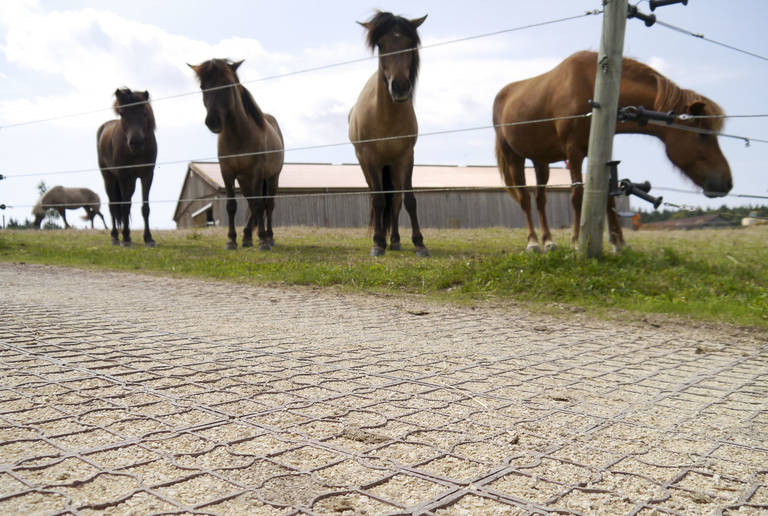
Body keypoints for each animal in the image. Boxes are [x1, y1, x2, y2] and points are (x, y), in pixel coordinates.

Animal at [97, 87, 158, 247]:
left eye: (144, 112)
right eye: (122, 113)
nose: (136, 142)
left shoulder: (147, 175)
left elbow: (145, 208)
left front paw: (148, 238)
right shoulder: (124, 176)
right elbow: (124, 206)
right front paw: (125, 237)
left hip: (131, 182)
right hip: (109, 178)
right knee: (113, 205)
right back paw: (115, 236)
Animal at [189, 59, 284, 251]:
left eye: (227, 84)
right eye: (203, 87)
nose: (213, 121)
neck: (238, 135)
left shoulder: (256, 172)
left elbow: (259, 204)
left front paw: (263, 241)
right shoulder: (227, 172)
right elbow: (232, 206)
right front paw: (231, 240)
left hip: (272, 177)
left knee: (268, 205)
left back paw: (269, 237)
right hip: (244, 180)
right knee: (251, 206)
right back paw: (247, 237)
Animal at [350, 10, 428, 256]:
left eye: (409, 43)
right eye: (381, 45)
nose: (400, 87)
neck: (385, 117)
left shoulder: (406, 156)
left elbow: (408, 199)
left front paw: (419, 242)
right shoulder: (371, 158)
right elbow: (378, 201)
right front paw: (377, 242)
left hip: (391, 166)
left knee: (394, 199)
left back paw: (393, 239)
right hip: (368, 166)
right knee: (380, 197)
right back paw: (383, 238)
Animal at [492, 51, 732, 253]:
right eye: (703, 135)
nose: (726, 183)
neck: (590, 87)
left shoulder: (599, 153)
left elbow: (608, 196)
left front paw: (619, 242)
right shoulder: (574, 152)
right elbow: (577, 196)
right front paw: (576, 241)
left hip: (540, 160)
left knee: (540, 199)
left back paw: (548, 241)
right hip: (514, 157)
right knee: (524, 198)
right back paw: (533, 242)